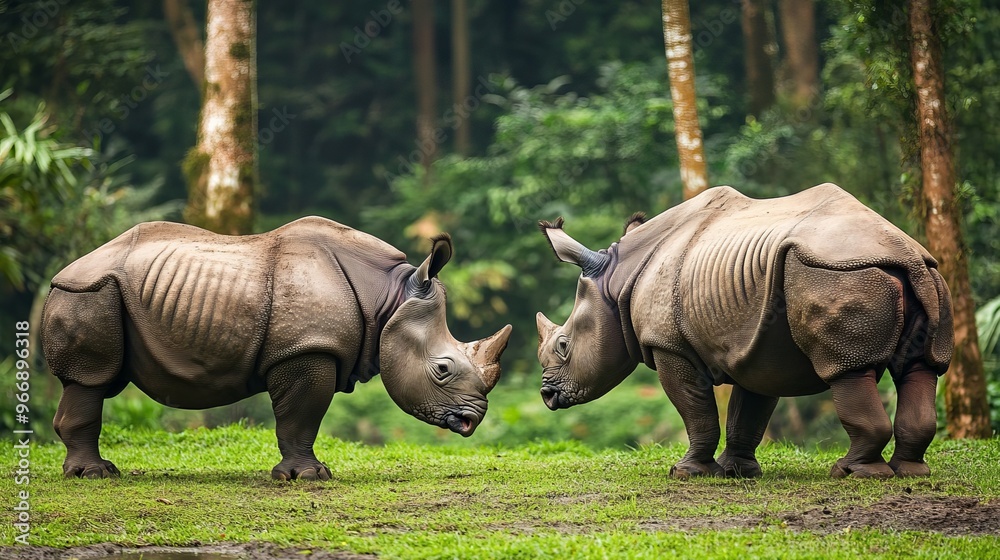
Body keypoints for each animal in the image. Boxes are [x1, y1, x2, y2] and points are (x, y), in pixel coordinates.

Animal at [41, 217, 511, 480]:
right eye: (443, 369)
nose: (471, 422)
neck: (388, 300)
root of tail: (63, 271)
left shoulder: (311, 349)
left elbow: (299, 417)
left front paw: (302, 475)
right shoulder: (308, 349)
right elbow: (301, 416)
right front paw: (309, 477)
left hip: (103, 292)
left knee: (103, 381)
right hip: (88, 291)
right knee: (92, 379)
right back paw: (94, 476)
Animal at [536, 184, 952, 479]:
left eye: (563, 345)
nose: (547, 395)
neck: (616, 281)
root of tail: (908, 254)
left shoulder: (669, 345)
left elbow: (695, 409)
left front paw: (687, 473)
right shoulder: (757, 344)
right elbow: (748, 408)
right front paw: (738, 472)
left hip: (834, 273)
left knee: (847, 370)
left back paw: (852, 473)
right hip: (926, 276)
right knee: (920, 367)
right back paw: (910, 473)